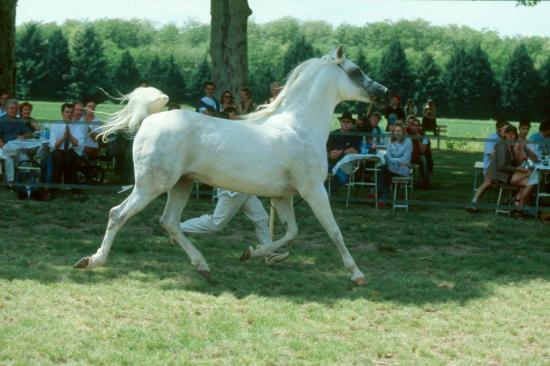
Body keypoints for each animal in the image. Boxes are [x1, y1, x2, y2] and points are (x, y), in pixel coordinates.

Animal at [75, 46, 390, 286]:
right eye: (356, 70)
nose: (384, 91)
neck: (299, 127)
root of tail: (149, 120)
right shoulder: (313, 190)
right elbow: (334, 231)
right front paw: (357, 275)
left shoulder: (283, 196)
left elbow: (291, 233)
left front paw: (252, 252)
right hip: (152, 185)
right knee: (119, 214)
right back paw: (93, 260)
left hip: (181, 184)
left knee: (169, 221)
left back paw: (203, 267)